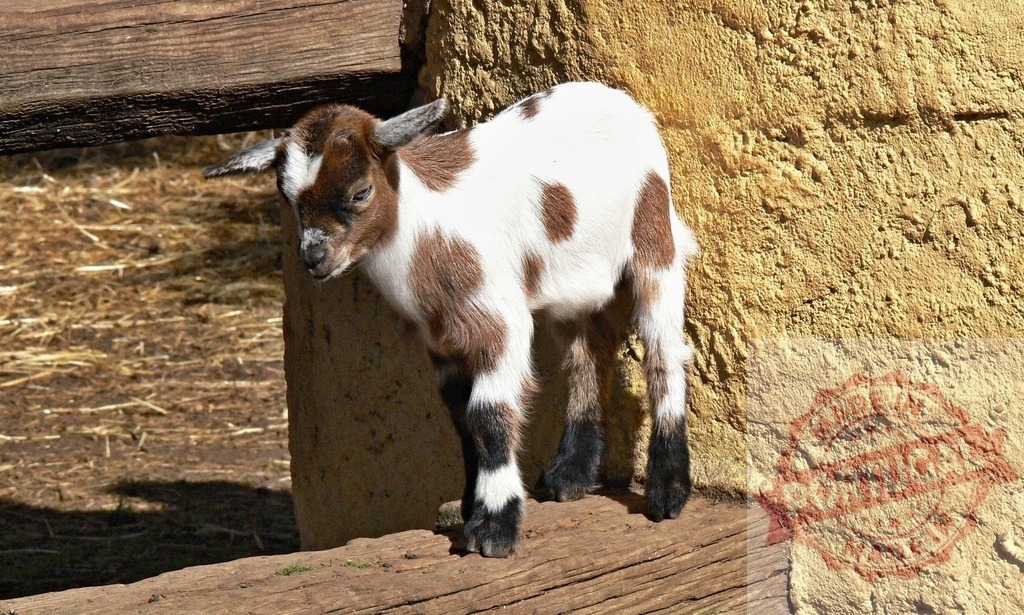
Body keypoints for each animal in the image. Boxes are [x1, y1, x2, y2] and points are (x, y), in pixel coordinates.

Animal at [205, 82, 699, 557]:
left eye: (360, 192)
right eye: (288, 200)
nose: (314, 259)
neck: (427, 232)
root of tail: (619, 99)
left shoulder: (500, 325)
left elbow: (488, 414)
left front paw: (495, 526)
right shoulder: (442, 341)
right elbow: (461, 418)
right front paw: (470, 506)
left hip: (654, 231)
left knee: (663, 351)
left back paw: (667, 490)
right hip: (570, 284)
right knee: (585, 356)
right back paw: (571, 475)